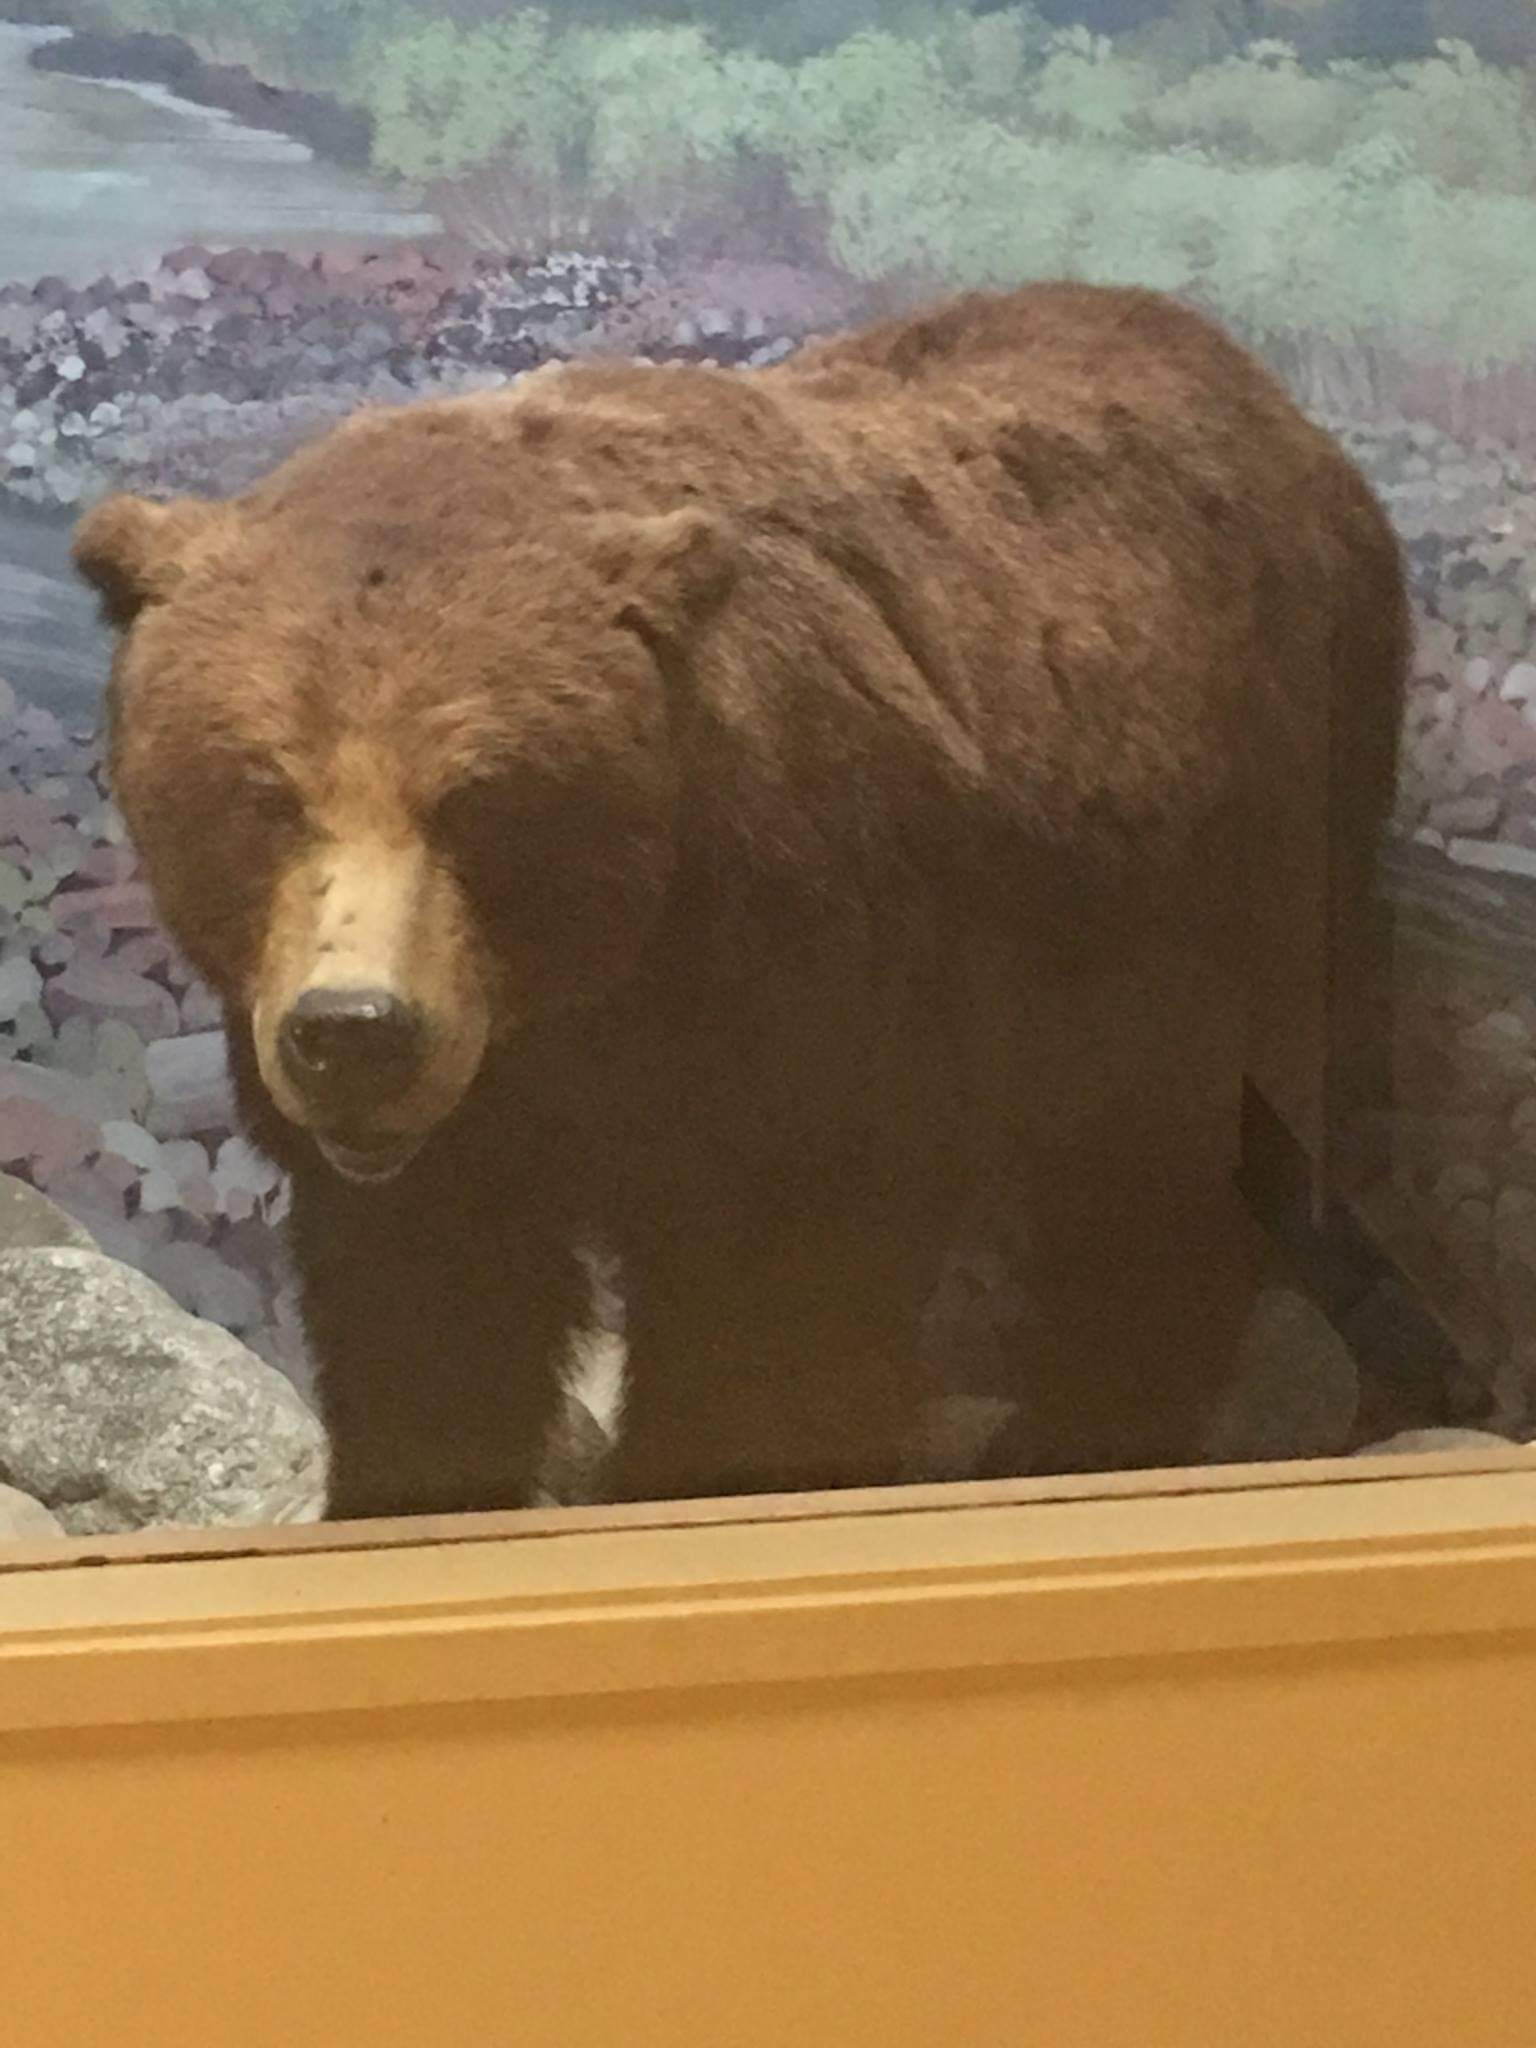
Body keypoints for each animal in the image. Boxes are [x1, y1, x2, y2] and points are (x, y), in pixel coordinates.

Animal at [72, 283, 1409, 1520]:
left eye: (479, 800)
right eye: (266, 791)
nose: (355, 1031)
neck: (594, 981)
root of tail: (1270, 393)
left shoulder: (802, 997)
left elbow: (772, 1325)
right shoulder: (471, 1119)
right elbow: (433, 1313)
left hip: (1224, 864)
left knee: (1166, 1174)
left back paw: (1074, 1432)